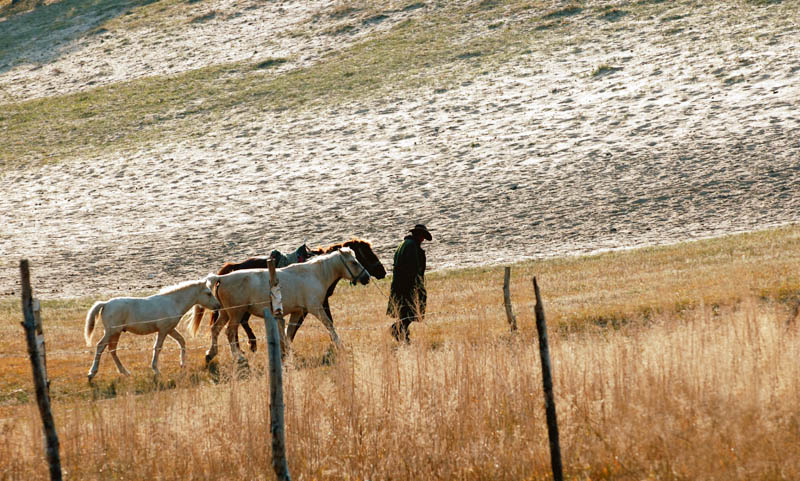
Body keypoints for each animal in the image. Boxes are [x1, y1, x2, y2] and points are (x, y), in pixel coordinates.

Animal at [84, 276, 220, 380]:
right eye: (208, 293)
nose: (218, 305)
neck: (173, 302)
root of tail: (106, 304)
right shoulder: (163, 330)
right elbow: (158, 347)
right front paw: (156, 370)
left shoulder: (170, 329)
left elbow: (181, 341)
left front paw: (183, 364)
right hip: (111, 331)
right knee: (100, 346)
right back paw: (92, 373)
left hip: (116, 333)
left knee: (112, 350)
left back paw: (125, 372)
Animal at [191, 238, 384, 354]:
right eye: (355, 261)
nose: (368, 277)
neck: (314, 273)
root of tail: (222, 278)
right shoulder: (315, 307)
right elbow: (328, 324)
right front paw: (339, 345)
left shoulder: (298, 311)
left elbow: (289, 331)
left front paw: (286, 351)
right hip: (236, 313)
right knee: (230, 332)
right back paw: (239, 355)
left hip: (226, 313)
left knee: (216, 329)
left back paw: (211, 354)